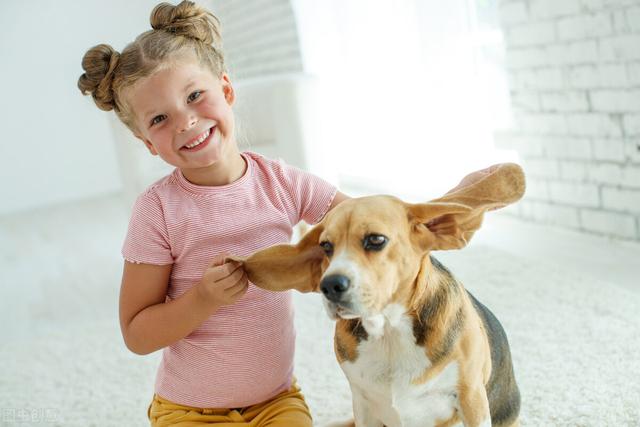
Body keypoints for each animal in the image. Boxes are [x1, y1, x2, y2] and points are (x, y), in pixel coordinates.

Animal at [230, 165, 524, 427]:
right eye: (326, 246)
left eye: (376, 240)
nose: (329, 285)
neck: (389, 331)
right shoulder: (363, 403)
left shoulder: (471, 398)